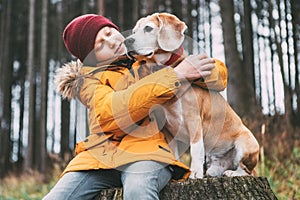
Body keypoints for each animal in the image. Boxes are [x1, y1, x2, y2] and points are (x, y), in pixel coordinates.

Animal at [125, 12, 258, 178]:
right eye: (134, 31)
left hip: (246, 143)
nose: (126, 41)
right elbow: (174, 152)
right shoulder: (168, 129)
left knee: (247, 171)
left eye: (148, 28)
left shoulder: (193, 120)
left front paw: (194, 172)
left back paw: (232, 173)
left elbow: (196, 150)